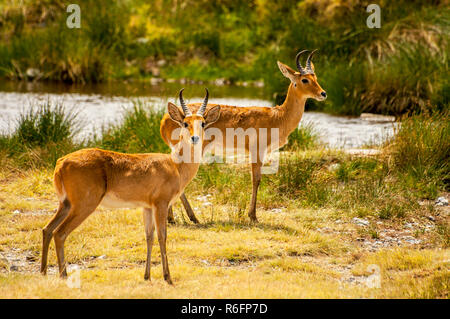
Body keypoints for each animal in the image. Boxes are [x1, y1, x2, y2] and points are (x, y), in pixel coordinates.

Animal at [41, 90, 221, 284]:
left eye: (202, 122)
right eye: (185, 122)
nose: (195, 138)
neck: (175, 165)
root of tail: (61, 162)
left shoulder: (147, 207)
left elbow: (149, 237)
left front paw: (147, 276)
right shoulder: (161, 204)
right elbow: (162, 236)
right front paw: (167, 277)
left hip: (65, 204)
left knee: (47, 230)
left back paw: (43, 272)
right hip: (83, 206)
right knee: (59, 233)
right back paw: (63, 275)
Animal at [162, 50, 326, 225]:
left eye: (316, 76)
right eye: (304, 79)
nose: (323, 93)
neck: (278, 117)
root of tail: (165, 118)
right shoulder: (257, 150)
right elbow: (256, 179)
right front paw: (253, 216)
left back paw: (174, 218)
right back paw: (188, 218)